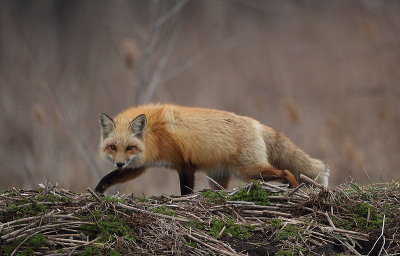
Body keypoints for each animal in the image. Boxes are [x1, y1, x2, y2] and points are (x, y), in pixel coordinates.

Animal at [95, 103, 330, 194]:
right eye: (114, 147)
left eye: (130, 147)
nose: (119, 162)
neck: (155, 133)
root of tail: (255, 123)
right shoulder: (139, 166)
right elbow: (110, 177)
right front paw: (98, 191)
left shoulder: (185, 164)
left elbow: (185, 192)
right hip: (219, 178)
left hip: (251, 171)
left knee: (287, 171)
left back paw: (293, 189)